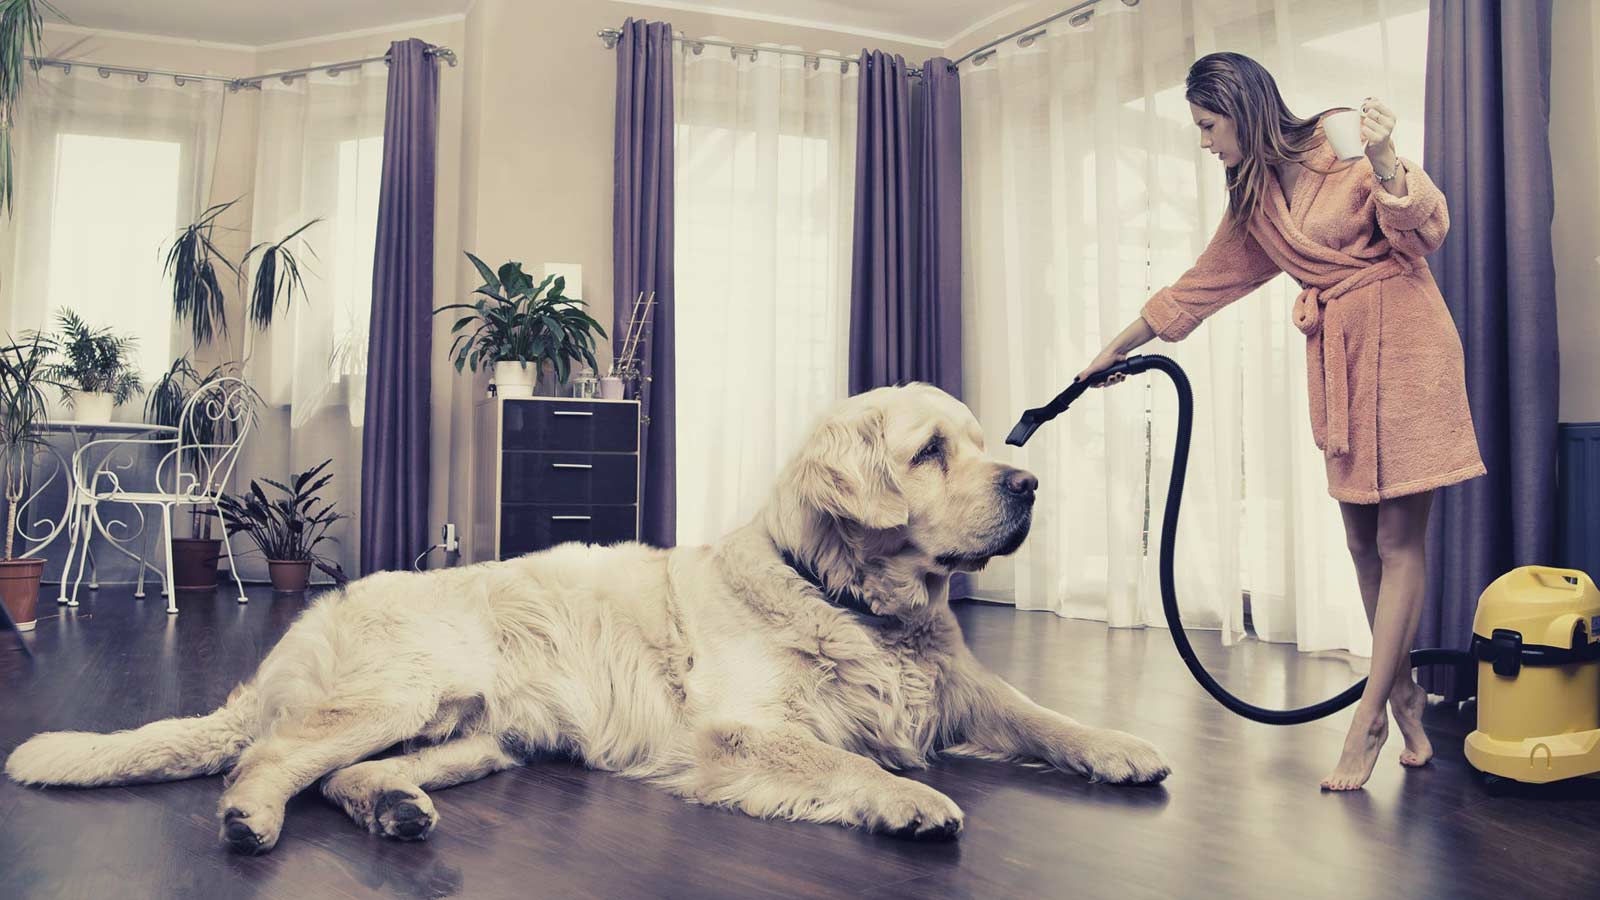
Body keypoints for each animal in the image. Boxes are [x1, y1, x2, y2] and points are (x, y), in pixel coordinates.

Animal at [6, 384, 1171, 845]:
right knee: (272, 758)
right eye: (931, 452)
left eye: (985, 444)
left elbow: (1038, 713)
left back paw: (394, 810)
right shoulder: (739, 729)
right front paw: (909, 799)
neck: (851, 598)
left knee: (340, 775)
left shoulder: (962, 688)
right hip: (399, 689)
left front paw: (1120, 746)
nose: (1029, 484)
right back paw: (250, 818)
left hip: (475, 736)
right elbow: (838, 757)